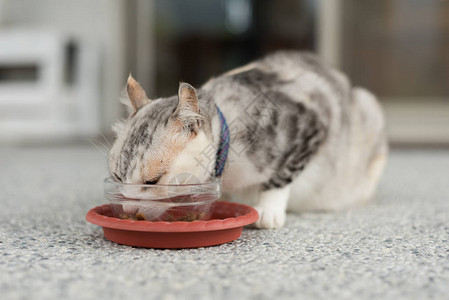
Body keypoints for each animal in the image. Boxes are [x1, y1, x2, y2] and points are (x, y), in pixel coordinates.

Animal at [107, 50, 384, 229]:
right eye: (118, 177)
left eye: (152, 181)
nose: (128, 210)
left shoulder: (312, 121)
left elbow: (282, 175)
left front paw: (268, 209)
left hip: (369, 109)